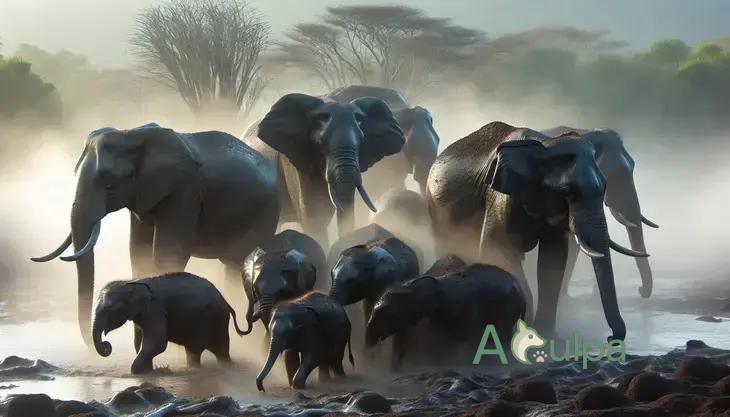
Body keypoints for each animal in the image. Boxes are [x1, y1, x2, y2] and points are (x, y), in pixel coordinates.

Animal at [32, 123, 280, 344]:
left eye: (108, 181)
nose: (99, 347)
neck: (132, 134)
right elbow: (137, 249)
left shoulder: (184, 192)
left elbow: (169, 251)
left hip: (265, 213)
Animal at [92, 272, 246, 374]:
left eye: (109, 308)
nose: (107, 345)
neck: (133, 281)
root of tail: (226, 302)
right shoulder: (142, 314)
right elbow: (141, 342)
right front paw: (148, 371)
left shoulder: (155, 310)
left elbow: (157, 342)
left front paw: (136, 372)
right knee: (199, 351)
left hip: (215, 320)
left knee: (216, 350)